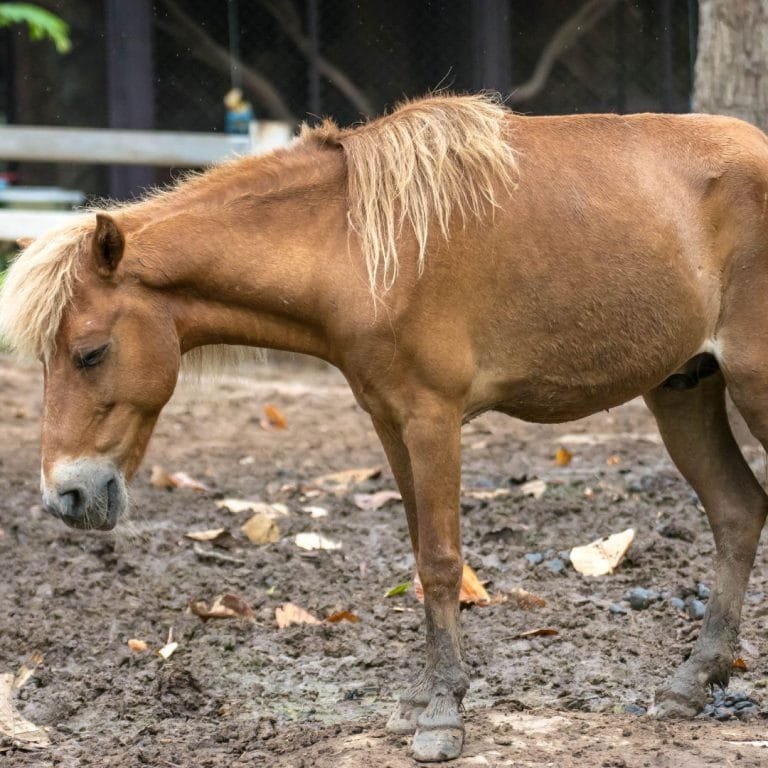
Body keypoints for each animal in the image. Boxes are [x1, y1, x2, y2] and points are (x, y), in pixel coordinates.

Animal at [2, 93, 768, 762]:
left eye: (90, 352)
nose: (66, 497)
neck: (350, 243)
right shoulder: (390, 422)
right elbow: (420, 553)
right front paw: (421, 697)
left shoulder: (434, 418)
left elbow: (441, 562)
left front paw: (443, 717)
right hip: (683, 391)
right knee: (737, 512)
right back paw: (691, 682)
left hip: (753, 389)